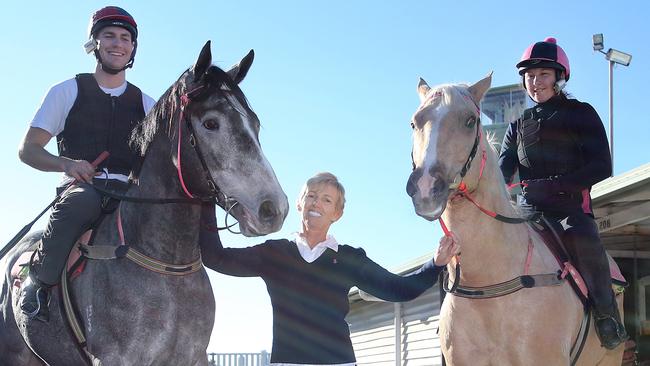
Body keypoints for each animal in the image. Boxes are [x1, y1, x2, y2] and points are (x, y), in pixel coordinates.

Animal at [0, 41, 288, 364]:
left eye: (255, 124)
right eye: (211, 123)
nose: (273, 209)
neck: (166, 263)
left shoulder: (193, 356)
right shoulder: (115, 357)